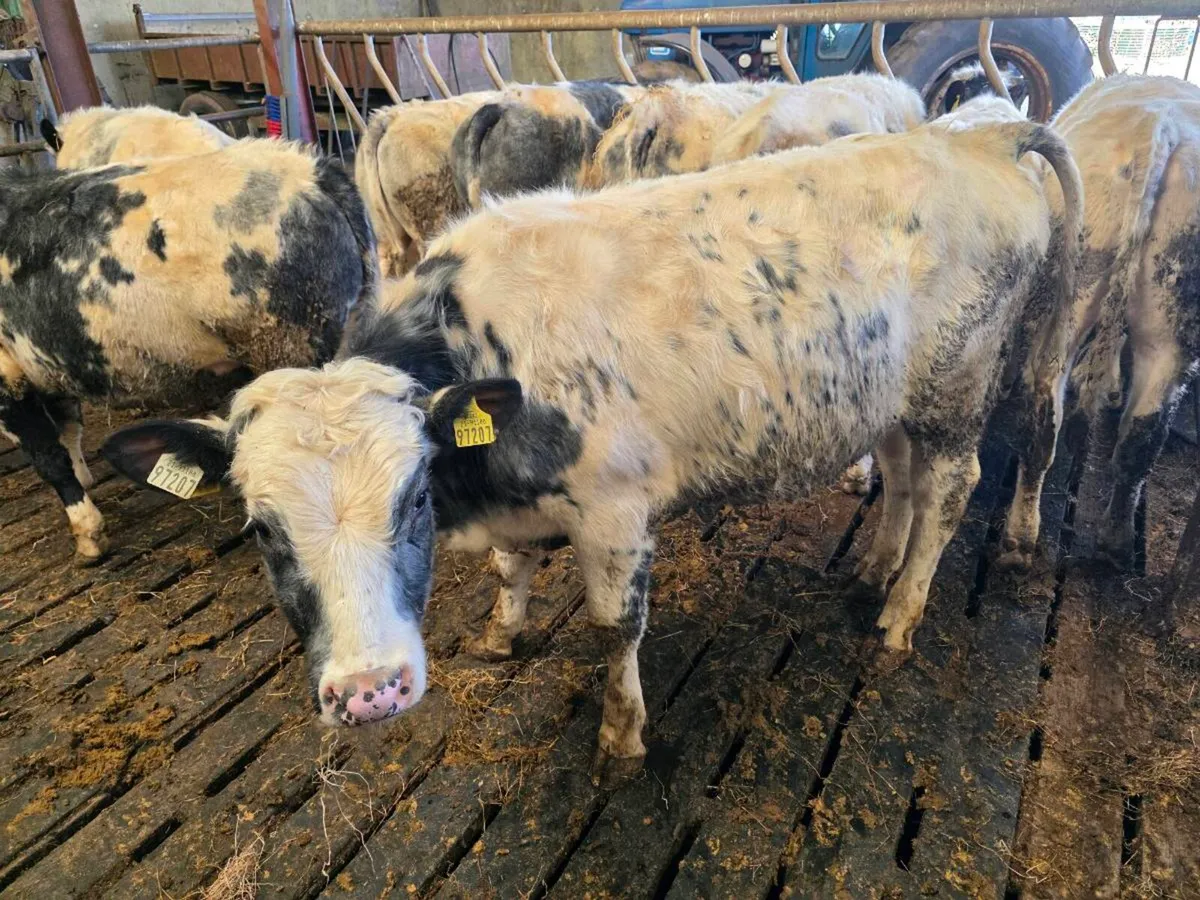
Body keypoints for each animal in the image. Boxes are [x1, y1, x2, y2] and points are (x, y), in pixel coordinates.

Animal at [0, 139, 374, 562]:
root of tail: (311, 171)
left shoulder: (7, 376)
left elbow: (49, 457)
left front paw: (88, 532)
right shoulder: (47, 361)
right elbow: (69, 428)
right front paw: (84, 476)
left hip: (290, 349)